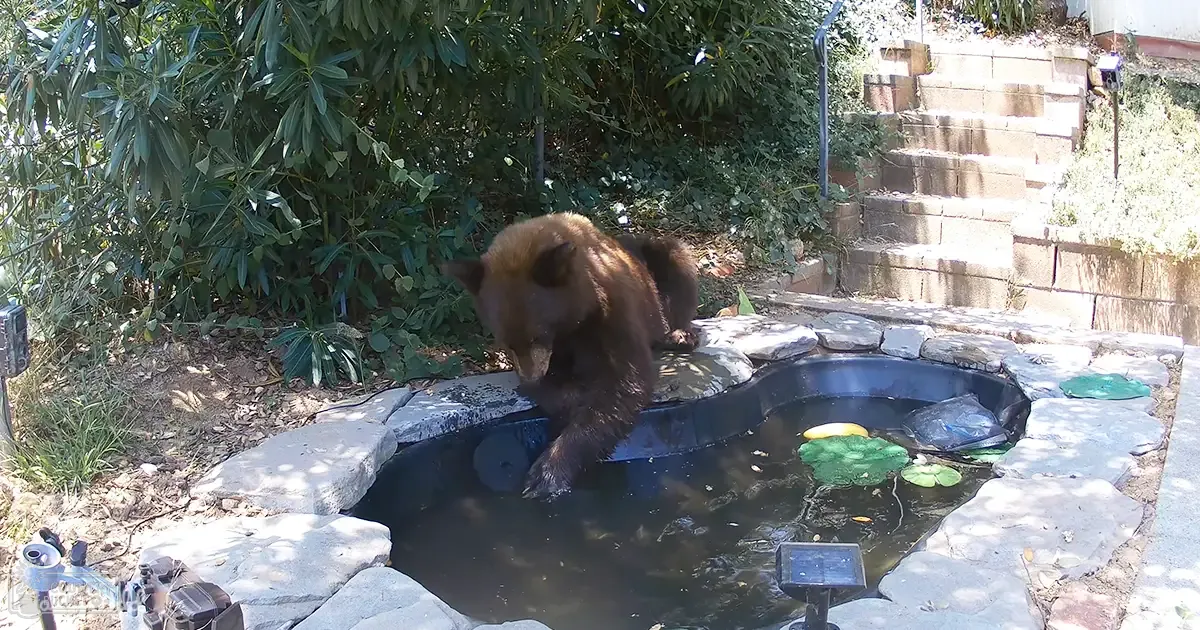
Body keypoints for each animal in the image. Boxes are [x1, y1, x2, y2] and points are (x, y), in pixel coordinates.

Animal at [443, 212, 699, 500]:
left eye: (537, 335)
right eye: (506, 344)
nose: (531, 378)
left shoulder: (612, 310)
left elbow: (626, 379)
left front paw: (547, 473)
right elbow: (557, 387)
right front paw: (570, 394)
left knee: (677, 265)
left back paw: (678, 335)